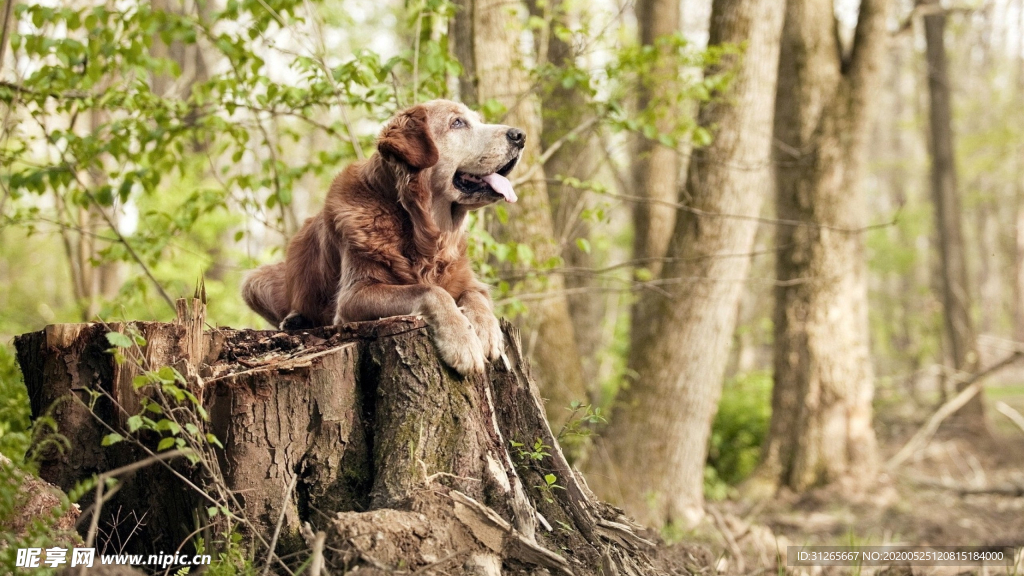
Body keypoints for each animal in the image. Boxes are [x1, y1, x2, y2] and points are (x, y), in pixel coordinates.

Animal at [240, 100, 524, 375]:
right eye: (457, 123)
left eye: (478, 120)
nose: (520, 135)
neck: (423, 234)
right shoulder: (353, 296)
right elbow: (432, 291)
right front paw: (461, 342)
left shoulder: (470, 281)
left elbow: (476, 298)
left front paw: (487, 332)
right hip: (253, 281)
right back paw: (295, 320)